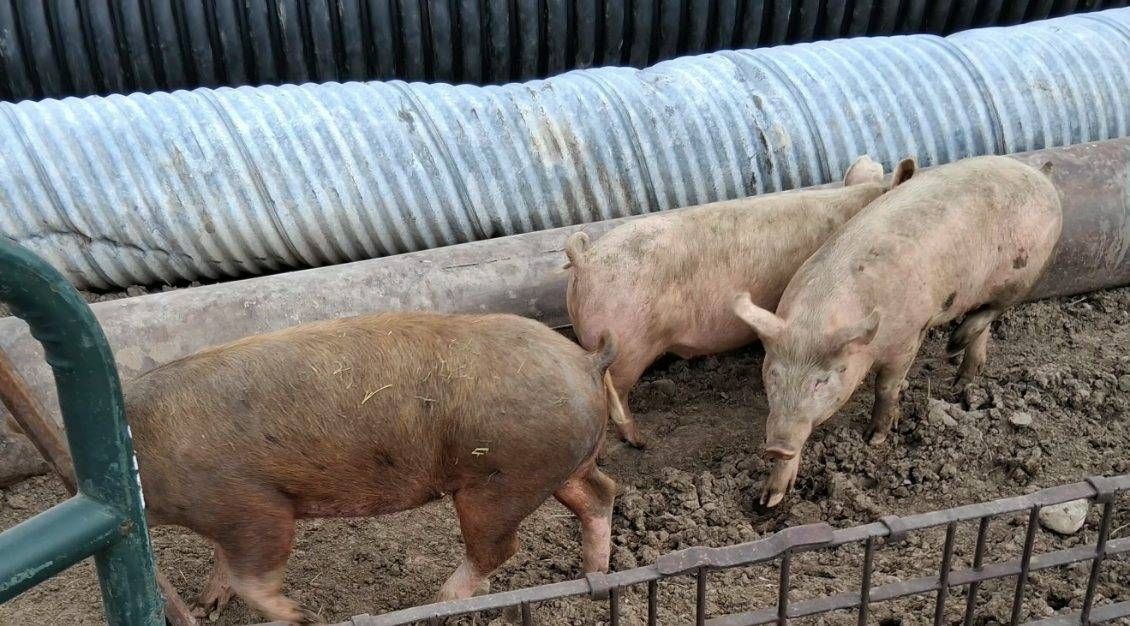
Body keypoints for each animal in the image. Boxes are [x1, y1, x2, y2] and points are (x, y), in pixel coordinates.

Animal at [125, 312, 620, 623]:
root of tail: (586, 359)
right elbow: (224, 560)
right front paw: (205, 607)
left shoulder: (252, 506)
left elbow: (255, 572)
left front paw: (306, 618)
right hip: (561, 468)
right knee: (602, 493)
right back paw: (593, 574)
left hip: (500, 482)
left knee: (497, 549)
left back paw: (437, 605)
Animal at [732, 155, 1062, 507]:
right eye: (773, 375)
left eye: (822, 380)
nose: (776, 447)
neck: (818, 318)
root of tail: (1038, 173)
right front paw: (769, 500)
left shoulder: (908, 336)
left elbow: (887, 387)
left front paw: (874, 438)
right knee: (982, 324)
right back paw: (962, 380)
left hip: (1026, 270)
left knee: (994, 310)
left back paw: (952, 346)